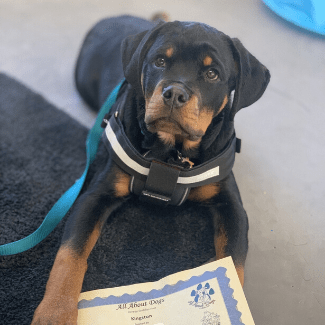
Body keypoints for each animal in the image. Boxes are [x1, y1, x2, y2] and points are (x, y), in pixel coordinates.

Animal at [31, 14, 270, 322]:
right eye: (159, 61)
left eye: (212, 74)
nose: (174, 93)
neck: (169, 156)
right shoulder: (94, 196)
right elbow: (69, 256)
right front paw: (54, 312)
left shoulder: (232, 207)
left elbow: (234, 262)